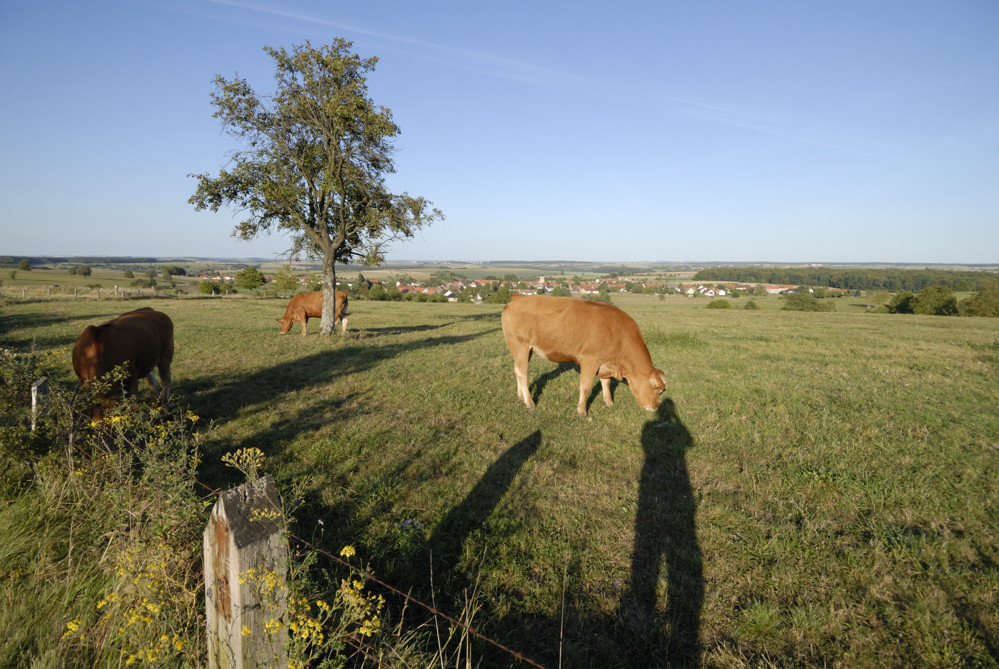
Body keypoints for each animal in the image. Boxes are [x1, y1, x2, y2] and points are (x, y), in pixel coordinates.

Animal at [504, 294, 668, 414]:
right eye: (658, 390)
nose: (655, 408)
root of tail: (519, 297)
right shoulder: (590, 360)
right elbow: (585, 386)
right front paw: (582, 411)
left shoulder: (604, 362)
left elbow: (606, 382)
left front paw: (609, 402)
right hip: (520, 345)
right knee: (522, 373)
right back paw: (529, 402)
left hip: (525, 349)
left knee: (516, 369)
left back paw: (520, 397)